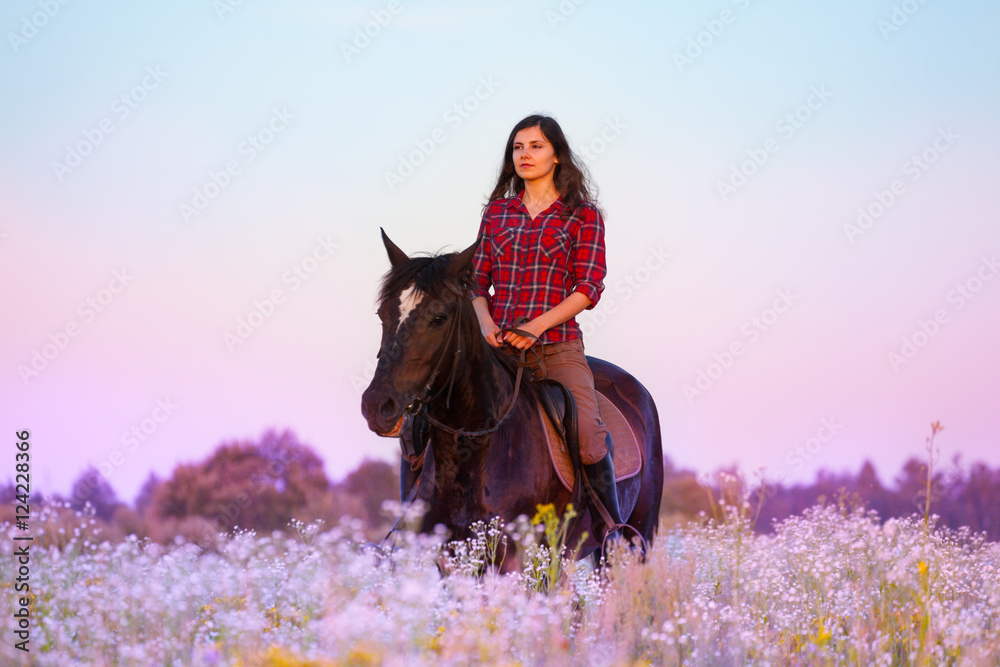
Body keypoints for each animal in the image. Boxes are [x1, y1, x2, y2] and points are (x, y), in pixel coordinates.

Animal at [360, 231, 664, 568]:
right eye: (383, 314)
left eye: (438, 318)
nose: (376, 406)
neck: (472, 450)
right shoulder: (450, 560)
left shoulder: (513, 560)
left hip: (634, 538)